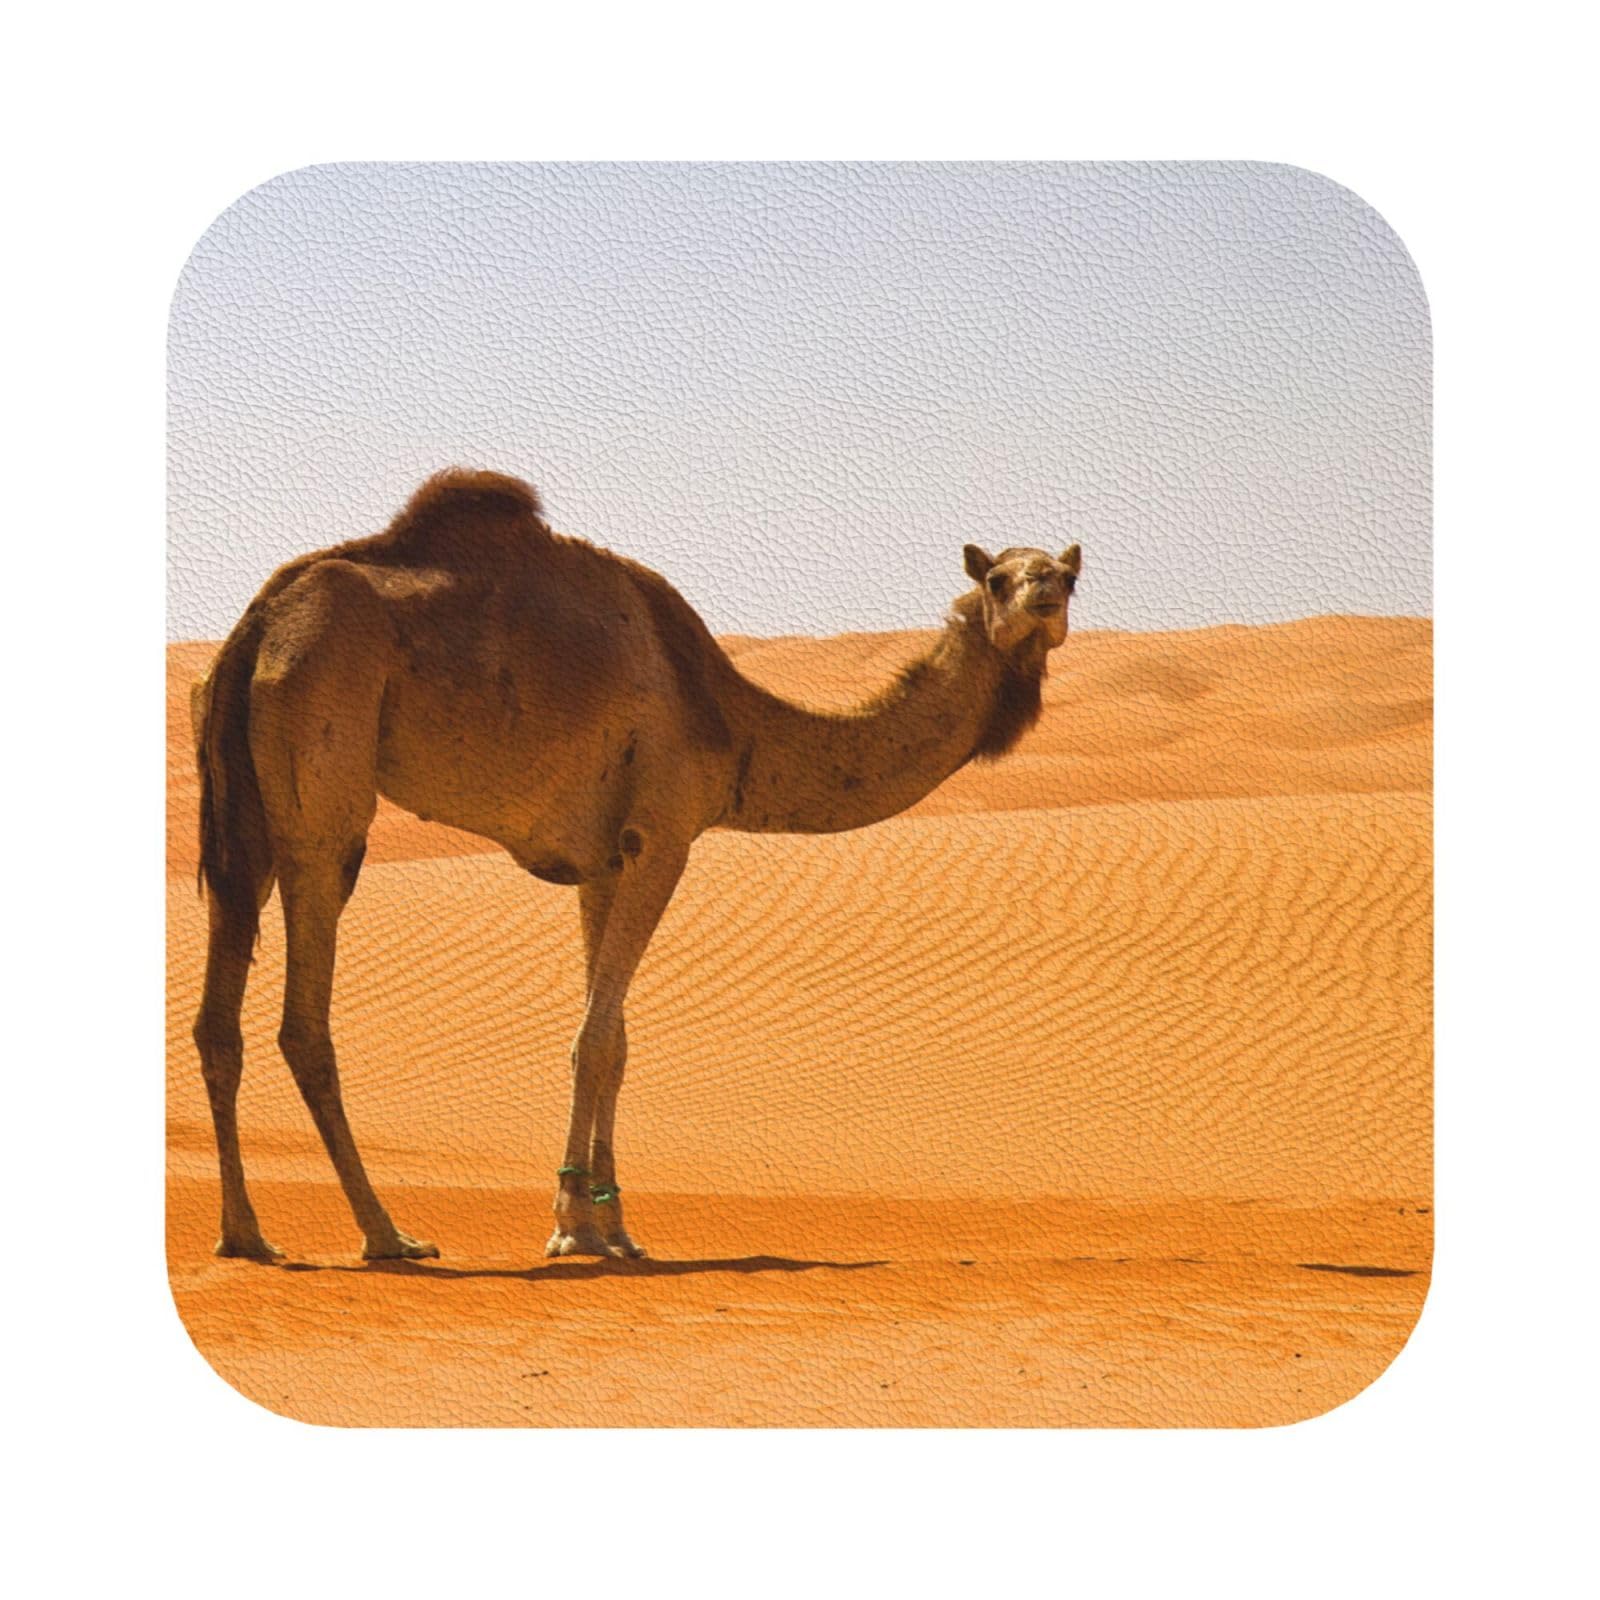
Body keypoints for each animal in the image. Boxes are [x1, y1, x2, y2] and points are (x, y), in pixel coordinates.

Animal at [192, 469, 1082, 1262]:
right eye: (999, 577)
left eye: (1068, 574)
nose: (1044, 595)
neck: (732, 723)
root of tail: (259, 623)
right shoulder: (664, 834)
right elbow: (592, 1038)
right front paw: (570, 1227)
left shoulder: (601, 863)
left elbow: (614, 1039)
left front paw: (613, 1225)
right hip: (324, 767)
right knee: (305, 1016)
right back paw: (387, 1234)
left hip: (245, 810)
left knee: (218, 1015)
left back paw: (246, 1234)